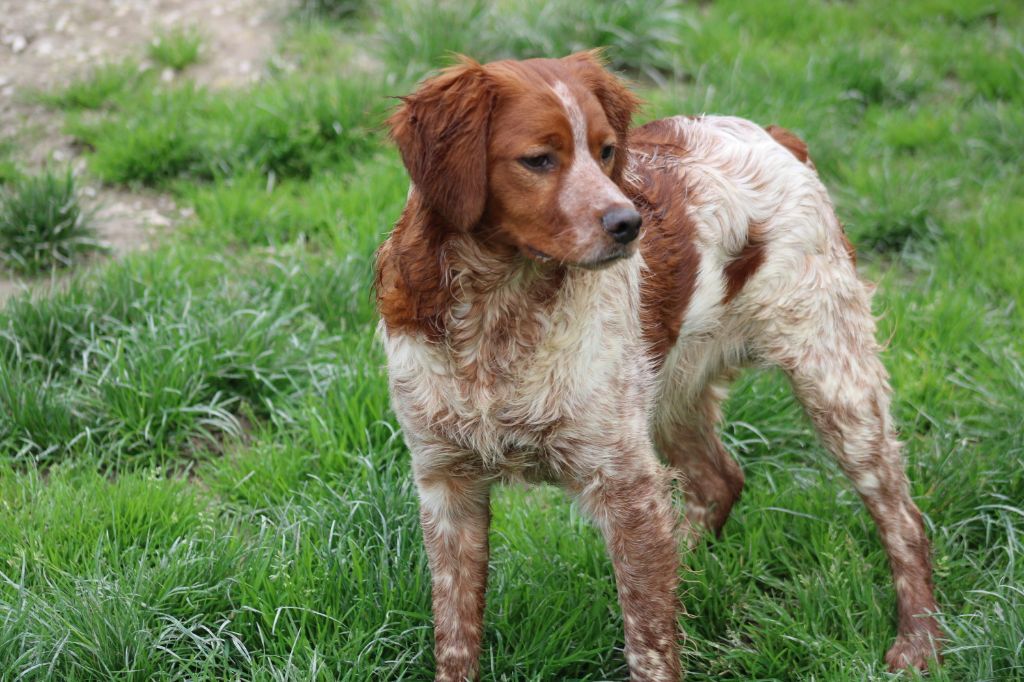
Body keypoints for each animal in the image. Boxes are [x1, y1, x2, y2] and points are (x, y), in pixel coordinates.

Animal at [376, 50, 942, 675]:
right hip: (672, 394)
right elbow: (455, 637)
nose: (629, 224)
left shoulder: (623, 481)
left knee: (903, 518)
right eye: (538, 159)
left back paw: (920, 642)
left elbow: (649, 644)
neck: (498, 314)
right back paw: (689, 568)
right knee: (719, 482)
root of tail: (777, 137)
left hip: (836, 382)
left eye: (606, 152)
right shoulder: (446, 484)